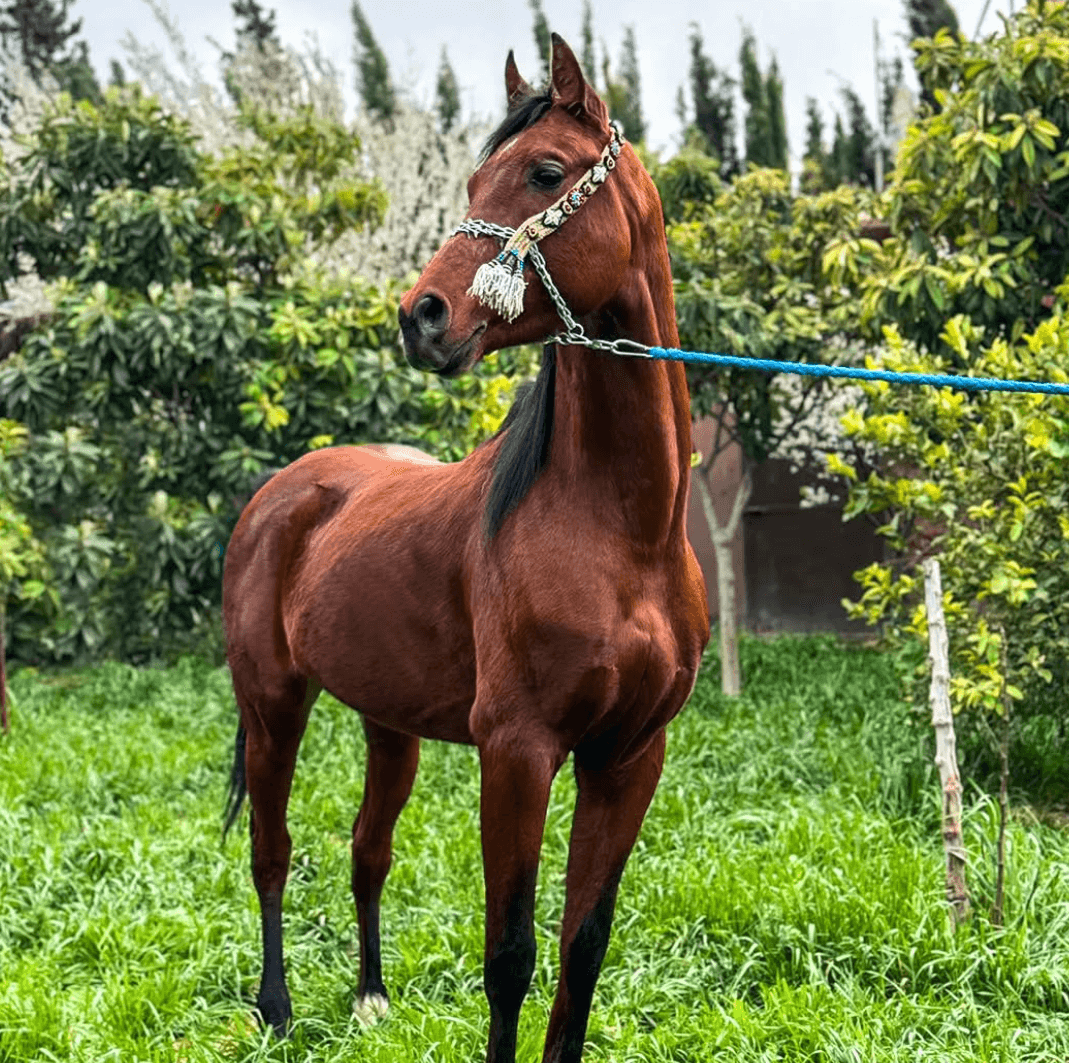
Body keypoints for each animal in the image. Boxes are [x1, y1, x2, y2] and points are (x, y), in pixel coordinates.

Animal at [222, 34, 709, 1063]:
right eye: (474, 178)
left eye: (546, 173)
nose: (422, 316)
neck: (623, 533)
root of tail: (284, 490)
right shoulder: (517, 750)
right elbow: (510, 954)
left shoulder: (628, 756)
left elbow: (582, 944)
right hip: (273, 705)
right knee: (272, 851)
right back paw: (276, 1008)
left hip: (388, 722)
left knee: (367, 848)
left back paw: (369, 997)